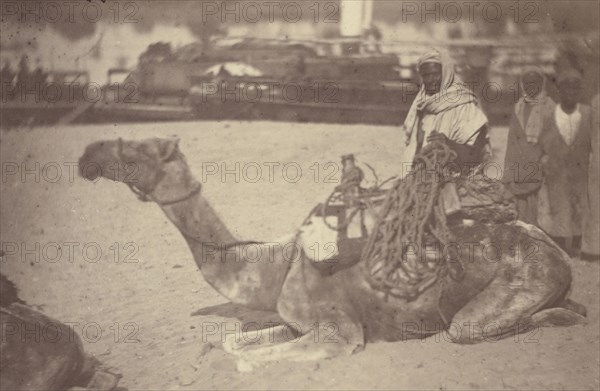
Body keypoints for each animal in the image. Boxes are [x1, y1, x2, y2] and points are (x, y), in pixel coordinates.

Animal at [78, 138, 584, 370]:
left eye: (136, 150)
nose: (88, 155)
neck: (274, 266)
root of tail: (557, 252)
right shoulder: (293, 320)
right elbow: (230, 342)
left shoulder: (339, 332)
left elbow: (244, 360)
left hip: (516, 284)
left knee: (470, 326)